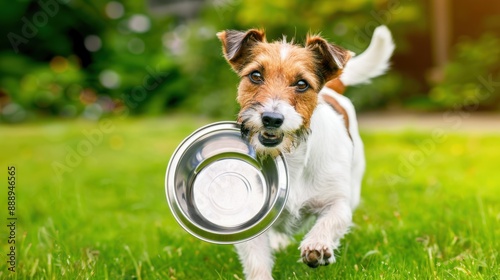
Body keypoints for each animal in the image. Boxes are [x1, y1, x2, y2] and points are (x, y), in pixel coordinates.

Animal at [216, 25, 394, 278]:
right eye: (255, 76)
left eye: (302, 84)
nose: (272, 118)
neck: (290, 160)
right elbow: (257, 260)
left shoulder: (338, 202)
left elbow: (332, 220)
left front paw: (317, 245)